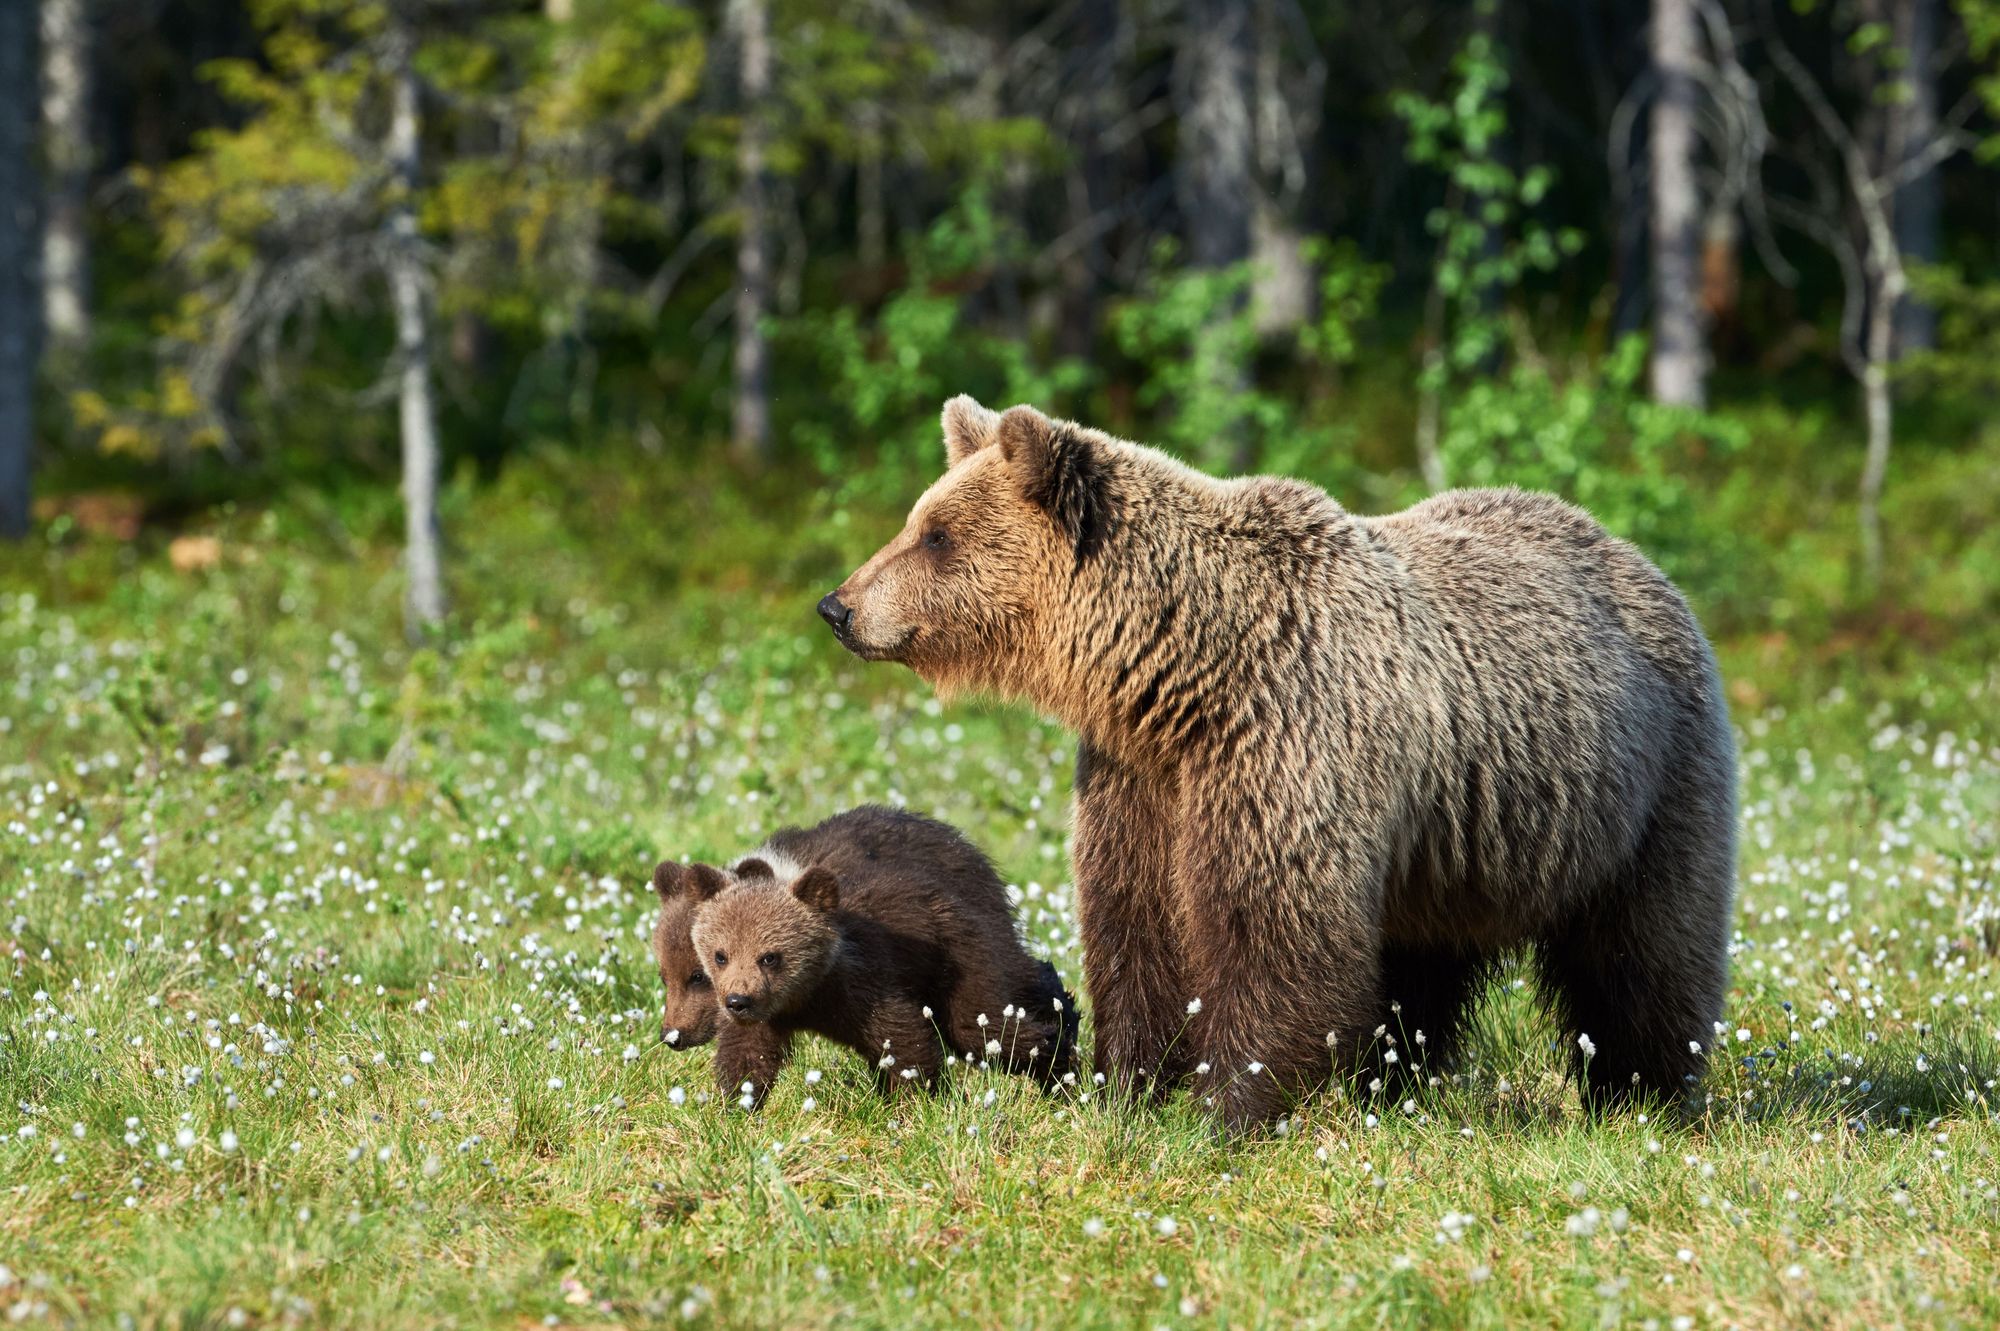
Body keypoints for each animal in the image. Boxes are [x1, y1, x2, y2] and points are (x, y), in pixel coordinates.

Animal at [664, 803, 1080, 1103]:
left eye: (770, 956)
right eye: (718, 956)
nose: (672, 1035)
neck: (807, 996)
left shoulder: (867, 981)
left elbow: (905, 1041)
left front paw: (918, 1102)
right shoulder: (767, 1015)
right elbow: (748, 1056)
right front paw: (736, 1106)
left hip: (968, 953)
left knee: (988, 1026)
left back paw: (1062, 1053)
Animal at [820, 395, 1744, 1127]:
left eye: (937, 535)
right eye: (918, 519)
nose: (838, 604)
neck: (1183, 674)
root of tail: (1640, 560)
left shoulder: (1287, 742)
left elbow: (1274, 930)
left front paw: (1228, 1102)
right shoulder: (1141, 777)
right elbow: (1136, 924)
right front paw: (1127, 1085)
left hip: (1644, 782)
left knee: (1644, 953)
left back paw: (1642, 1094)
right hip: (1452, 844)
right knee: (1422, 964)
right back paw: (1393, 1084)